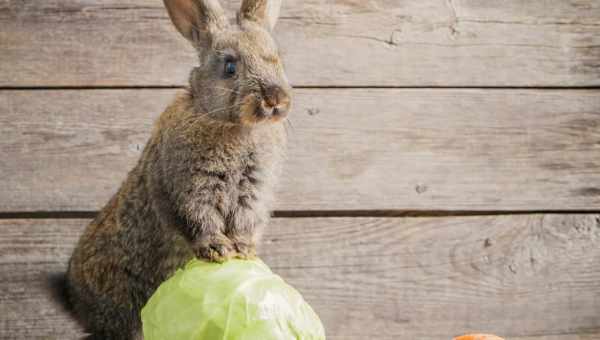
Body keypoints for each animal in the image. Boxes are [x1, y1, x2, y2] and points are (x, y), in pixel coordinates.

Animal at [65, 1, 290, 338]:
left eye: (277, 57)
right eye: (230, 67)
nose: (276, 98)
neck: (229, 124)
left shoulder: (253, 192)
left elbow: (245, 221)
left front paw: (243, 250)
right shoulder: (188, 189)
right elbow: (197, 219)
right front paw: (218, 251)